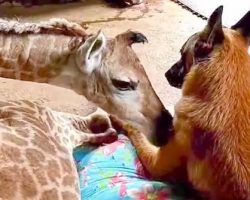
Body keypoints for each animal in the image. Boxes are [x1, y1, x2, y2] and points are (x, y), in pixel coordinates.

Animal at [110, 5, 250, 199]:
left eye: (182, 54)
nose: (166, 73)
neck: (228, 84)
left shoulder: (156, 163)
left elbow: (136, 130)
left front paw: (119, 119)